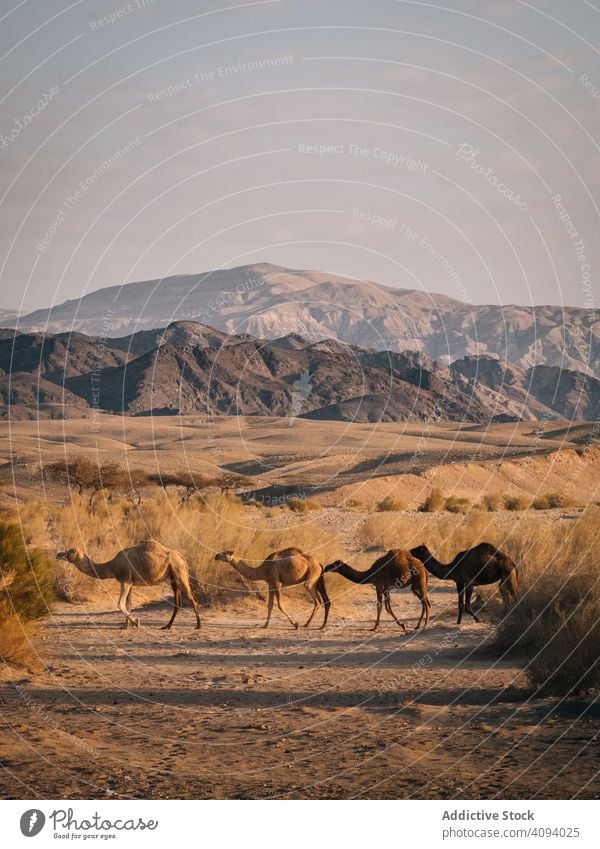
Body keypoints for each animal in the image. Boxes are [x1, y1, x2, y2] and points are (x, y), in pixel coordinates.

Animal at [56, 540, 202, 628]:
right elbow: (128, 604)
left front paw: (135, 622)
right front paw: (125, 625)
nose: (58, 555)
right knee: (178, 603)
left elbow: (120, 604)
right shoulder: (130, 583)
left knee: (192, 599)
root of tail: (182, 557)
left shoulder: (125, 581)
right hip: (173, 578)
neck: (112, 566)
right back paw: (167, 626)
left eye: (71, 551)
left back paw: (198, 626)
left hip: (180, 573)